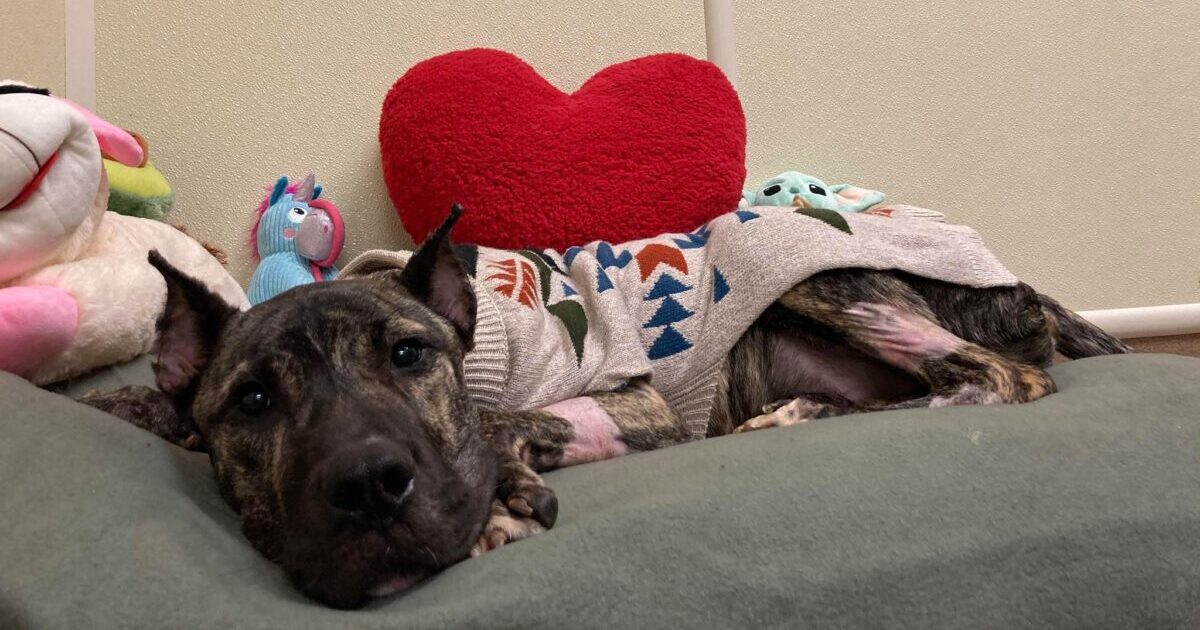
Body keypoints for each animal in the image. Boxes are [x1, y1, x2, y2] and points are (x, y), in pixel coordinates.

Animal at [81, 208, 1129, 608]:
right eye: (252, 401)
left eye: (411, 356)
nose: (372, 488)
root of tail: (1019, 283)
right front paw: (126, 403)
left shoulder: (633, 401)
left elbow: (498, 425)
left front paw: (495, 499)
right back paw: (797, 417)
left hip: (827, 279)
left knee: (1004, 378)